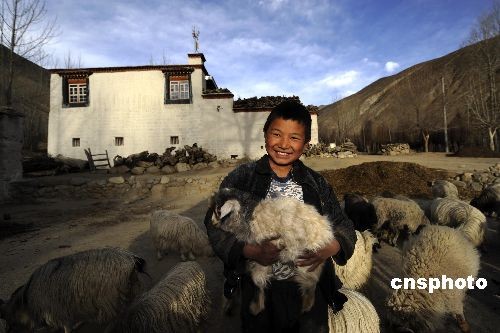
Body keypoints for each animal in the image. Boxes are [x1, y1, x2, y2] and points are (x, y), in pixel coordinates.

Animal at [0, 246, 147, 332]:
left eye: (7, 320)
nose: (7, 330)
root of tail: (132, 259)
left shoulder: (57, 311)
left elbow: (66, 327)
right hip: (129, 290)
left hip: (115, 298)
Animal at [209, 188, 334, 316]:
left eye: (218, 211)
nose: (212, 222)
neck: (248, 214)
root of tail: (327, 232)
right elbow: (258, 279)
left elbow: (258, 279)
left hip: (307, 260)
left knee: (310, 281)